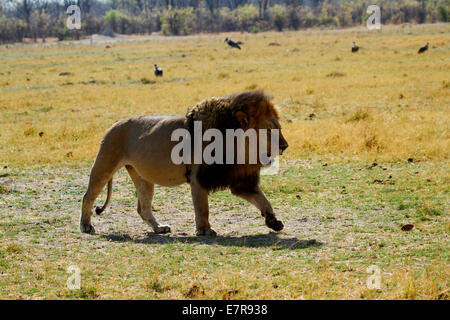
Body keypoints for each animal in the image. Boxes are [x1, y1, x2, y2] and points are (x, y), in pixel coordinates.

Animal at [80, 90, 288, 235]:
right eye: (268, 130)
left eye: (278, 128)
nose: (285, 146)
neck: (238, 146)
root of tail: (114, 123)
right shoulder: (198, 178)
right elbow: (202, 208)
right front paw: (205, 231)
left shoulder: (240, 179)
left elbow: (262, 199)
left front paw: (273, 221)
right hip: (104, 164)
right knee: (88, 196)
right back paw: (86, 226)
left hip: (142, 177)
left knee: (143, 208)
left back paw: (159, 228)